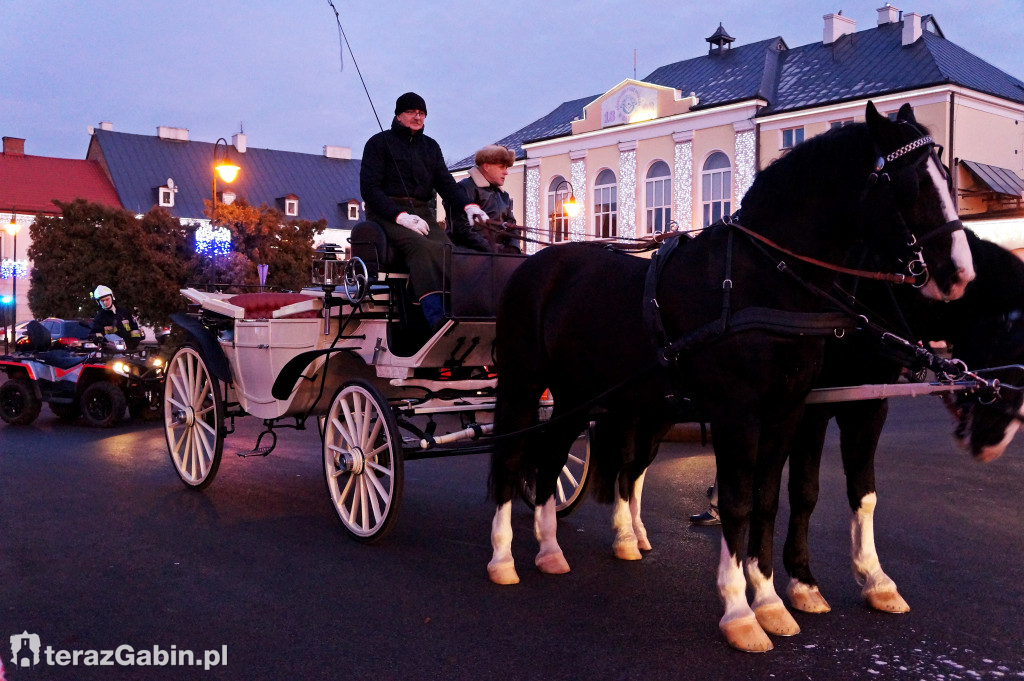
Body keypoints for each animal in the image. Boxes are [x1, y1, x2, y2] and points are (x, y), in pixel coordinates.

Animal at [487, 103, 974, 651]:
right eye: (909, 181)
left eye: (945, 175)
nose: (959, 272)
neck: (762, 280)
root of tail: (539, 264)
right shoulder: (743, 415)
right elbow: (743, 502)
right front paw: (742, 609)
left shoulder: (798, 411)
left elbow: (774, 498)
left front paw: (772, 599)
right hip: (525, 384)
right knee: (512, 457)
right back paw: (504, 557)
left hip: (583, 396)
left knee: (558, 460)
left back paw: (552, 549)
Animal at [782, 229, 1024, 614]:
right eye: (1013, 347)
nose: (992, 446)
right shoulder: (811, 408)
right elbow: (804, 491)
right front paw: (802, 582)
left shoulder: (868, 406)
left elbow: (864, 493)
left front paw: (875, 579)